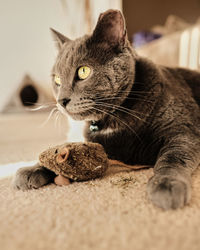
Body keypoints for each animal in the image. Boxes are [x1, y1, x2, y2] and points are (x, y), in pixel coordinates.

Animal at [12, 9, 200, 209]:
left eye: (83, 71)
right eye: (57, 79)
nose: (61, 100)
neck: (112, 120)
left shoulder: (183, 130)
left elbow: (173, 157)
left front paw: (166, 185)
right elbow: (62, 149)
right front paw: (32, 169)